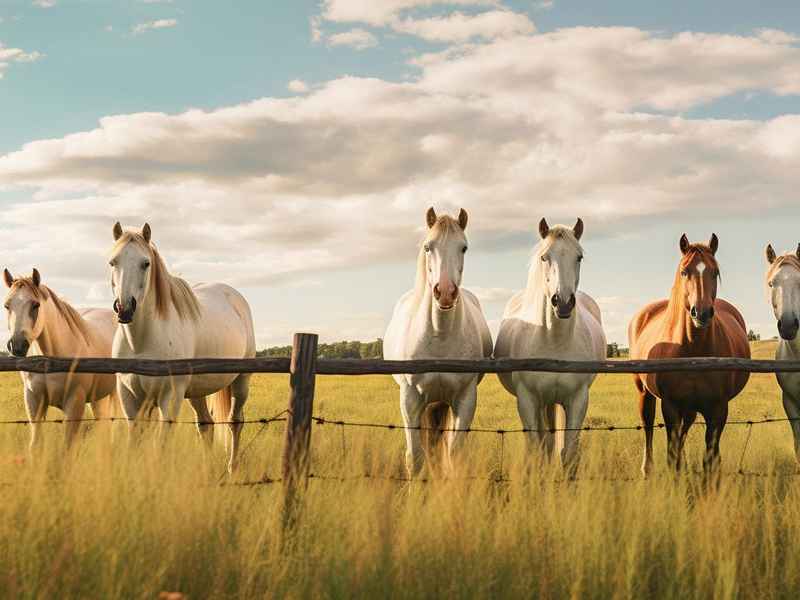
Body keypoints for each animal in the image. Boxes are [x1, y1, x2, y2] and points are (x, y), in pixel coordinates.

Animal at [3, 268, 117, 450]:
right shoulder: (33, 399)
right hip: (98, 398)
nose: (17, 345)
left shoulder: (74, 403)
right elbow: (35, 444)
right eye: (7, 305)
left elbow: (67, 447)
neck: (49, 362)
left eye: (35, 305)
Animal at [108, 222, 256, 473]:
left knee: (235, 422)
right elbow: (135, 441)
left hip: (241, 381)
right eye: (113, 262)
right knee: (206, 425)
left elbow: (161, 444)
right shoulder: (130, 396)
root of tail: (235, 297)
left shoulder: (170, 396)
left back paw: (232, 468)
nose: (124, 309)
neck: (141, 343)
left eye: (146, 263)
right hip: (197, 391)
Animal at [384, 207, 492, 477]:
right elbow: (415, 457)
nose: (444, 292)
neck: (439, 336)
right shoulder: (410, 400)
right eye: (427, 247)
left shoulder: (465, 399)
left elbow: (454, 455)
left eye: (463, 248)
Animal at [494, 218, 606, 471]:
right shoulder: (528, 401)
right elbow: (537, 448)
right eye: (545, 257)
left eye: (579, 257)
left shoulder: (578, 399)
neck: (554, 341)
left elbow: (568, 452)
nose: (563, 302)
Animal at [629, 233, 750, 477]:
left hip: (691, 408)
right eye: (684, 271)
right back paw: (647, 469)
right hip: (644, 392)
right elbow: (671, 456)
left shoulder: (718, 409)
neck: (693, 351)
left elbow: (711, 460)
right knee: (647, 425)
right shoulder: (670, 406)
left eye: (715, 272)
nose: (701, 313)